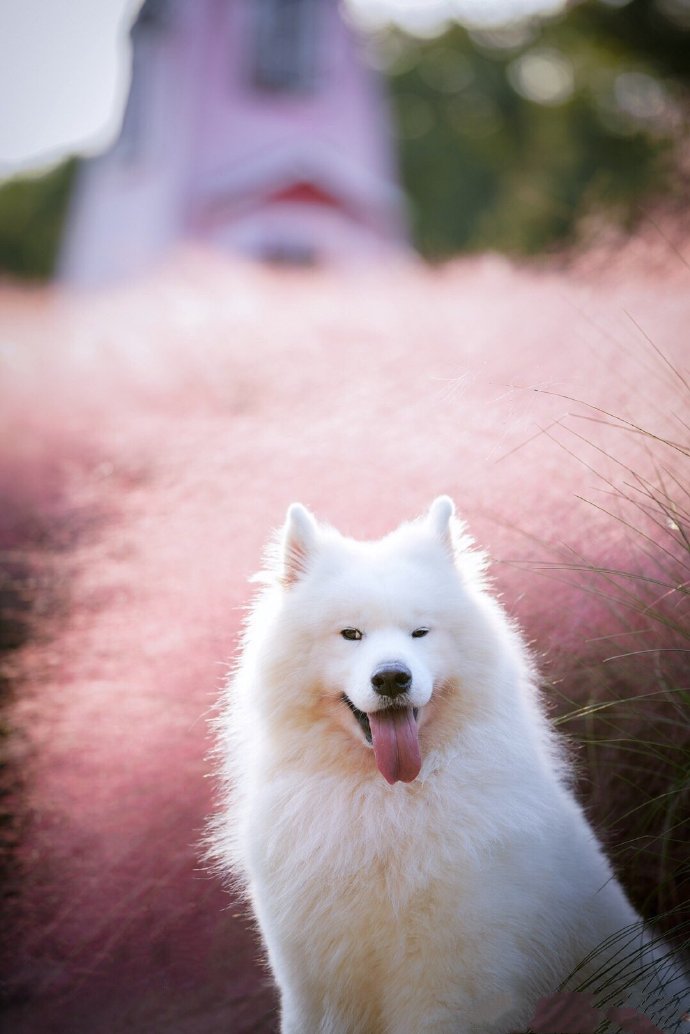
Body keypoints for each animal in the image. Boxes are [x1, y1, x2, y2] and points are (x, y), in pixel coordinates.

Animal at [213, 496, 686, 1029]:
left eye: (420, 632)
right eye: (351, 634)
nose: (392, 677)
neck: (383, 802)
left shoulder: (452, 987)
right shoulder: (314, 988)